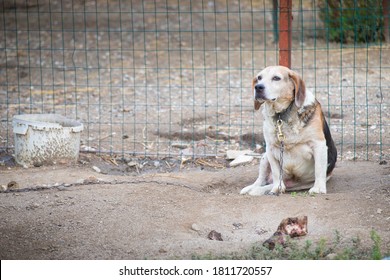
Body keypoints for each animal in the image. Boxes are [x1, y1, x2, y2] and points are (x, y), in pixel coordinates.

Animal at [239, 66, 336, 197]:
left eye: (276, 78)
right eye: (259, 78)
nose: (258, 87)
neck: (281, 115)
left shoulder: (319, 144)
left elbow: (319, 169)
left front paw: (318, 188)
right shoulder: (270, 148)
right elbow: (276, 173)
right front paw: (276, 188)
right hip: (264, 157)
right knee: (262, 180)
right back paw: (253, 188)